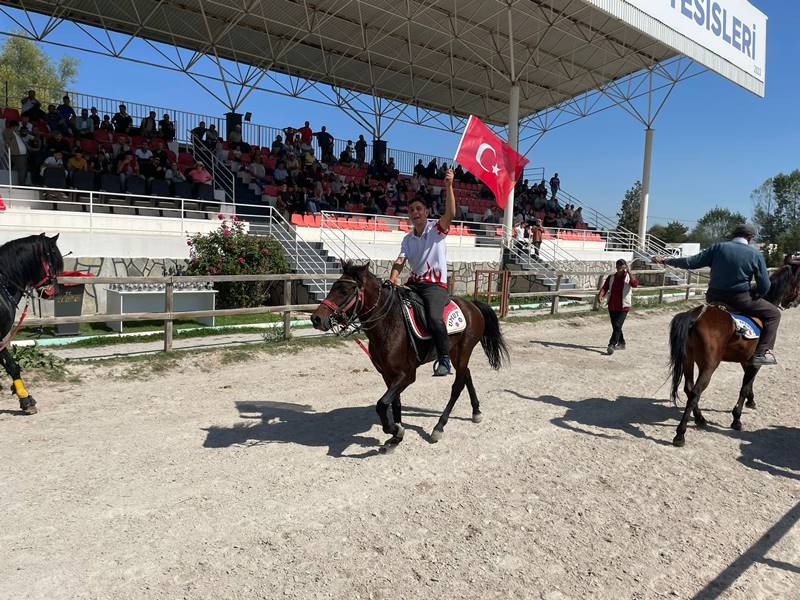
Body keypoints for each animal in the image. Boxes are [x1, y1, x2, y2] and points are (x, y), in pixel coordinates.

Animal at [310, 260, 510, 452]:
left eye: (344, 291)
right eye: (333, 287)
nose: (316, 318)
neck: (389, 323)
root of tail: (472, 305)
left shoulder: (407, 375)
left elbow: (382, 404)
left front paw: (394, 430)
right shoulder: (388, 374)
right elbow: (394, 403)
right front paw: (395, 436)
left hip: (463, 351)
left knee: (457, 386)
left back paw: (439, 427)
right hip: (456, 352)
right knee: (466, 375)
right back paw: (476, 411)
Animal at [668, 262, 800, 446]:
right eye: (799, 282)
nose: (795, 302)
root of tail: (696, 315)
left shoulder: (747, 361)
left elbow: (749, 384)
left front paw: (751, 402)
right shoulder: (756, 362)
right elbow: (744, 388)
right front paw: (737, 419)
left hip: (688, 361)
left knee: (688, 388)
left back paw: (700, 419)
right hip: (708, 365)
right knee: (695, 392)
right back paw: (680, 434)